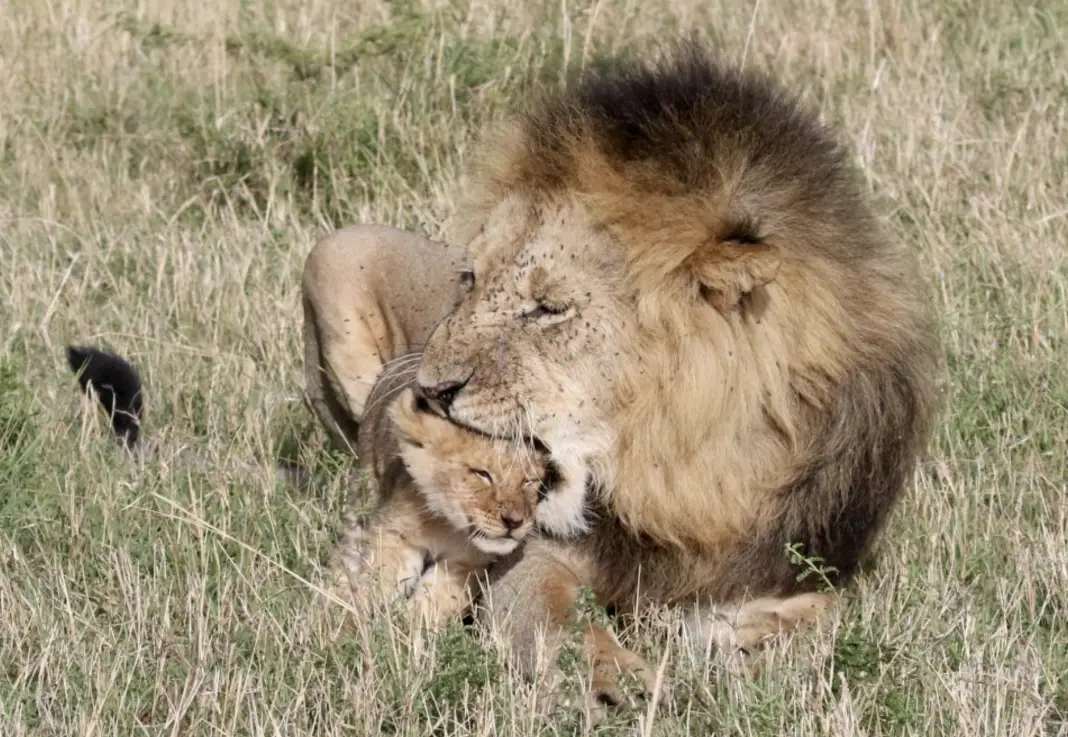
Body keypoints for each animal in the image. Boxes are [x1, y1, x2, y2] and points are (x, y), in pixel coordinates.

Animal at [301, 44, 935, 700]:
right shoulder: (523, 557)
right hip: (334, 254)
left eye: (548, 308)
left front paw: (749, 655)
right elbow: (556, 618)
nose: (431, 389)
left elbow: (816, 624)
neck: (684, 477)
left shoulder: (793, 569)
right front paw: (618, 686)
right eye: (470, 279)